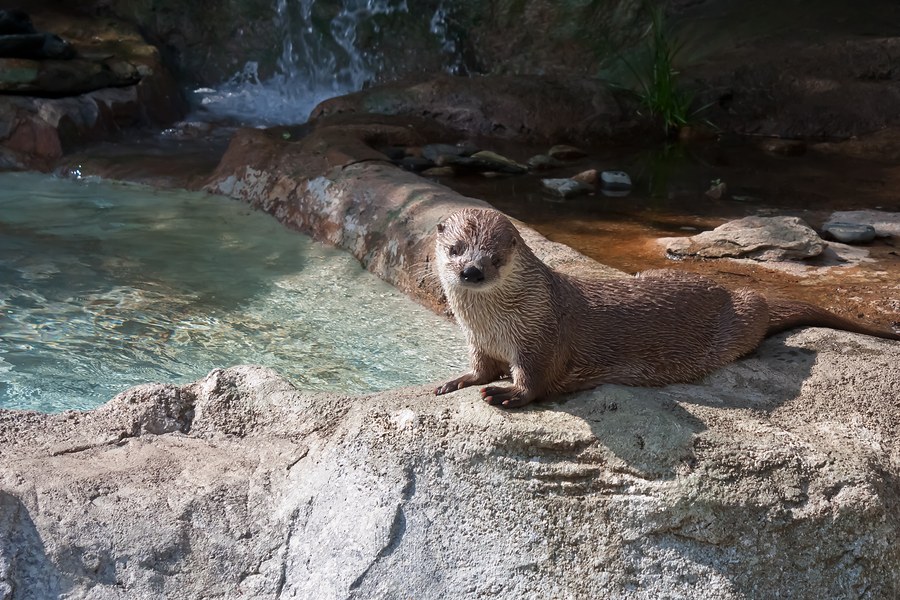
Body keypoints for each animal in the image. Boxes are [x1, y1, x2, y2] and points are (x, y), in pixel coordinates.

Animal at [432, 207, 900, 408]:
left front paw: (508, 392)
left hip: (742, 313)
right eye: (456, 248)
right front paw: (458, 380)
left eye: (496, 257)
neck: (494, 325)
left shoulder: (541, 336)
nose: (472, 270)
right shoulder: (478, 341)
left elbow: (536, 381)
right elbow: (481, 368)